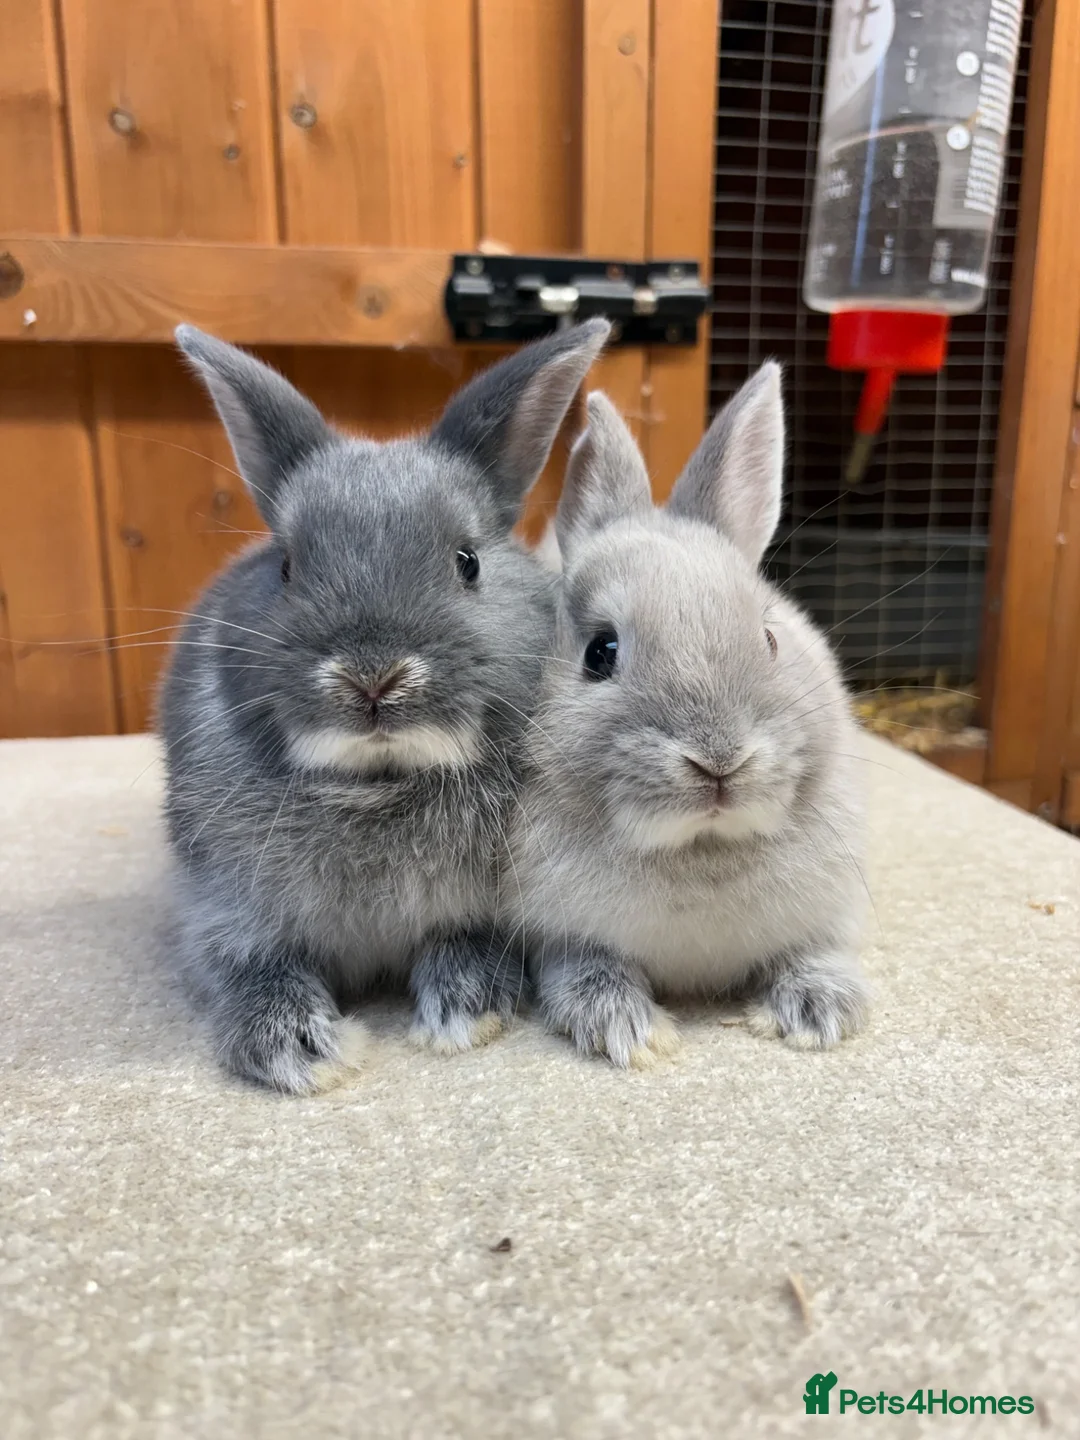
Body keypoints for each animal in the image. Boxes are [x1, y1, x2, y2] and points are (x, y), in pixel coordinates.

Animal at [161, 319, 610, 1093]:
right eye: (286, 567)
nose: (372, 678)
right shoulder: (224, 914)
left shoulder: (486, 912)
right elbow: (255, 972)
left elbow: (468, 947)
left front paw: (464, 1012)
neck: (377, 785)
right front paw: (301, 1051)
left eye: (468, 562)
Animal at [511, 362, 870, 1067]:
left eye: (769, 638)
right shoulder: (558, 937)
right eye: (600, 653)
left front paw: (823, 1014)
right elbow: (584, 971)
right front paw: (626, 1029)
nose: (719, 760)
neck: (703, 848)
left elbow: (813, 951)